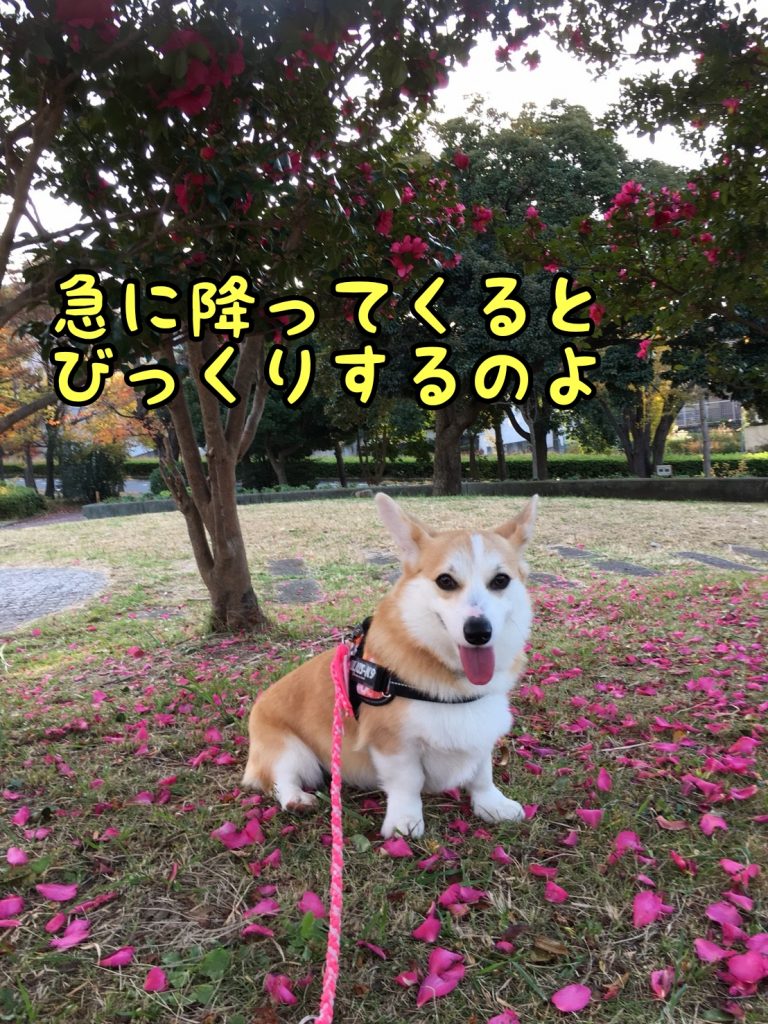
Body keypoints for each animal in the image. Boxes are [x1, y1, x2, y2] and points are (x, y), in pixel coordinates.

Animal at [242, 492, 537, 838]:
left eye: (500, 580)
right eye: (446, 581)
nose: (478, 631)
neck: (449, 676)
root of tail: (258, 703)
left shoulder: (482, 728)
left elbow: (482, 774)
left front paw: (492, 805)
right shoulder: (392, 742)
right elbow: (407, 783)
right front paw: (404, 823)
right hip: (290, 750)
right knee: (280, 778)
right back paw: (296, 799)